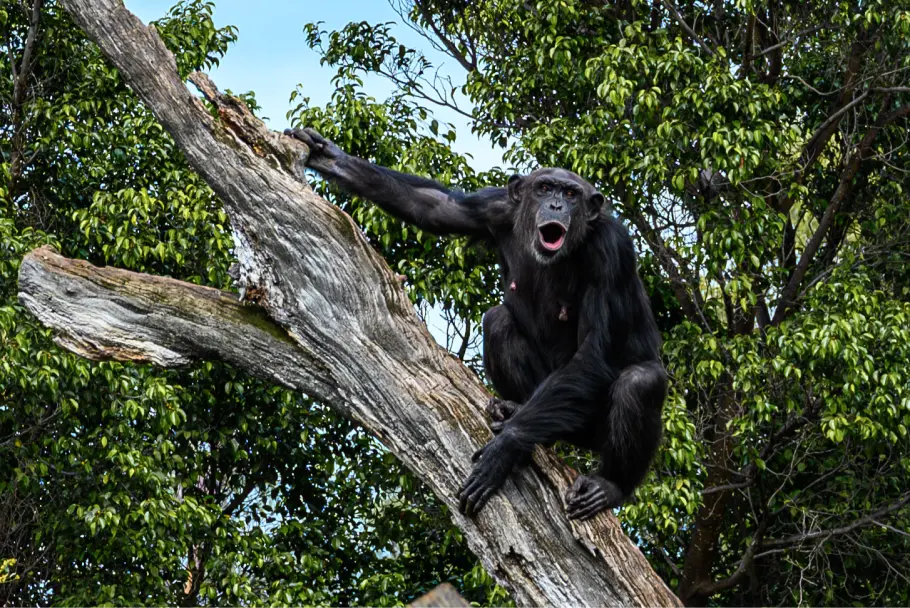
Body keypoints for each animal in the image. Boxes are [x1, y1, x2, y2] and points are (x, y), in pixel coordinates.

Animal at [288, 126, 668, 520]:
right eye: (545, 188)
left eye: (570, 194)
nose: (556, 206)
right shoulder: (495, 206)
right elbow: (436, 206)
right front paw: (331, 156)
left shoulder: (613, 251)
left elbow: (596, 350)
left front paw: (506, 447)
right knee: (497, 320)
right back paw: (514, 409)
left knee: (641, 382)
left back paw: (608, 485)